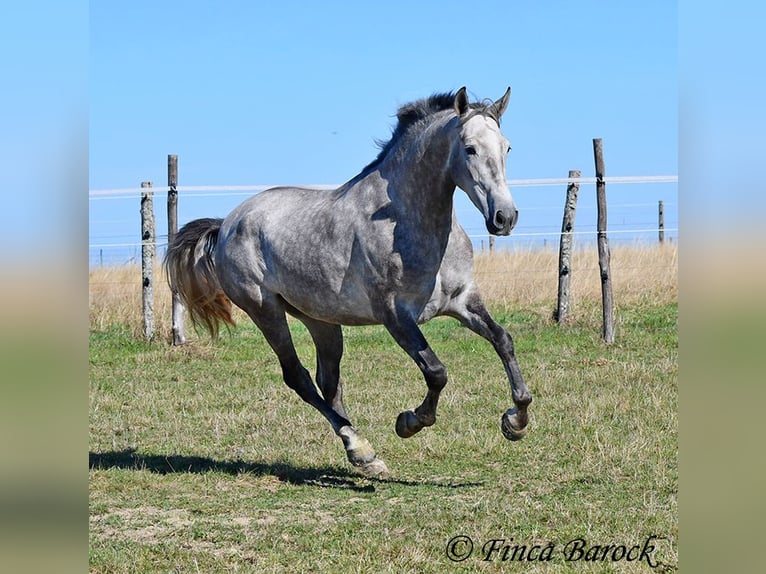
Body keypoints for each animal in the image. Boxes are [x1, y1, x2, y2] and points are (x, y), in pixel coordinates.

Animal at [164, 87, 532, 478]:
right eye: (470, 148)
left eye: (507, 147)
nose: (504, 217)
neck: (409, 223)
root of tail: (227, 223)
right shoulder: (396, 316)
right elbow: (436, 372)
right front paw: (409, 422)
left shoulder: (463, 301)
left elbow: (503, 341)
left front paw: (515, 421)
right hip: (265, 310)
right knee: (298, 377)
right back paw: (361, 449)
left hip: (320, 320)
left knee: (329, 383)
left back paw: (364, 455)